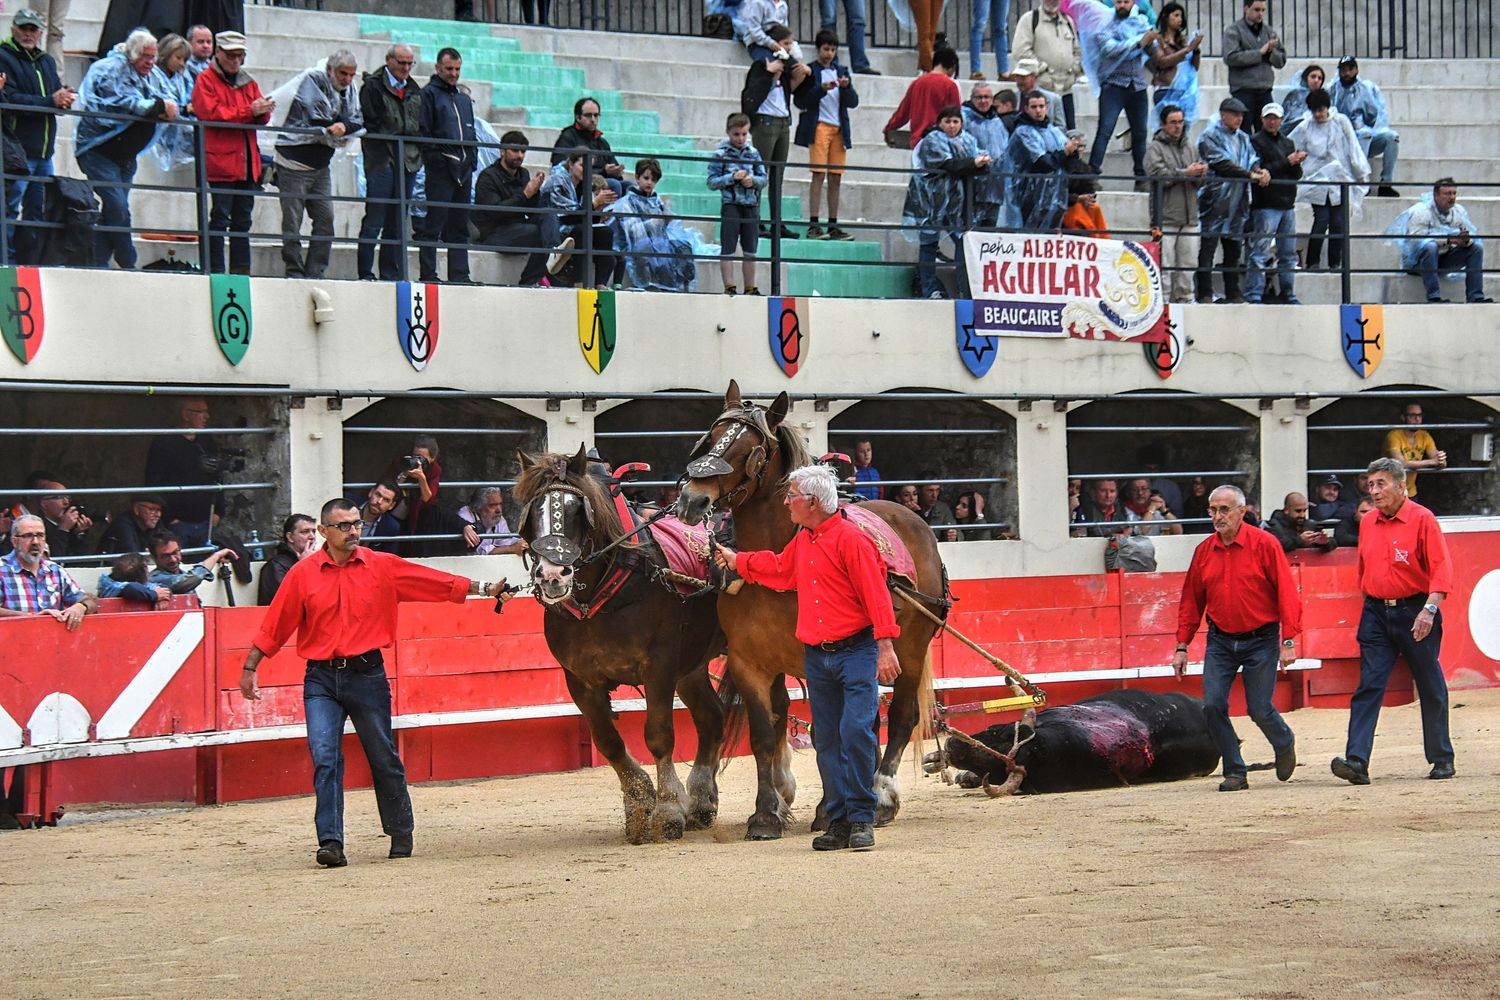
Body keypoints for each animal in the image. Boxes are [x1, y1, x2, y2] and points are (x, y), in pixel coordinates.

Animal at [513, 446, 729, 845]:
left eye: (575, 511)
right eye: (533, 513)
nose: (552, 576)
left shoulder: (659, 667)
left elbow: (659, 736)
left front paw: (668, 809)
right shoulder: (579, 680)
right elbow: (608, 741)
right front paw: (640, 803)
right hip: (691, 667)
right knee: (712, 718)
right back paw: (702, 800)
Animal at [675, 380, 942, 839]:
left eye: (749, 449)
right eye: (710, 439)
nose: (691, 500)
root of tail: (910, 515)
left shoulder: (819, 661)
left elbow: (828, 735)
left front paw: (828, 812)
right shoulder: (750, 663)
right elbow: (765, 734)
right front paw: (766, 814)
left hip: (909, 649)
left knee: (900, 719)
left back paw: (882, 795)